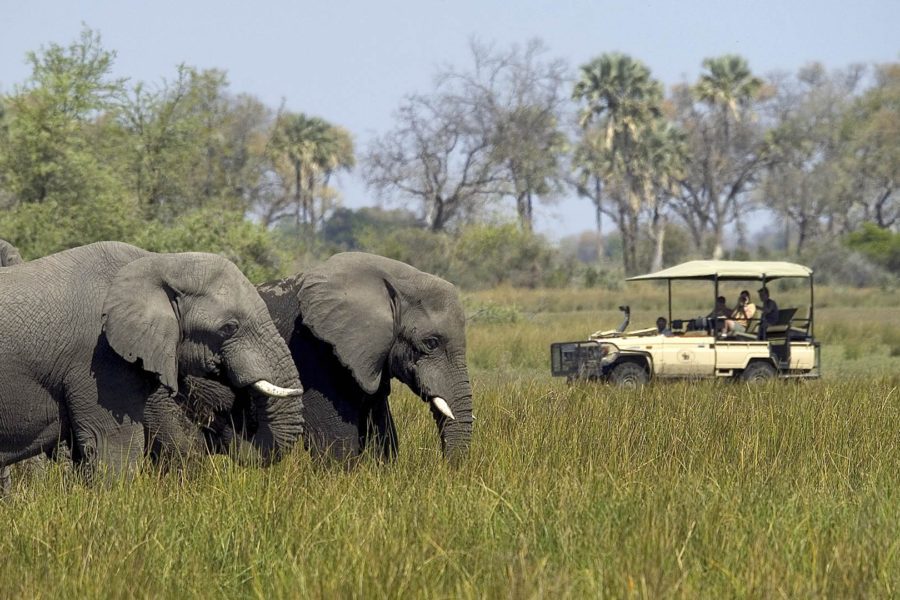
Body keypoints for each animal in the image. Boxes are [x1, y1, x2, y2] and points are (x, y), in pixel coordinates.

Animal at [185, 253, 478, 464]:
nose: (445, 471)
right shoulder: (312, 351)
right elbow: (337, 442)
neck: (393, 278)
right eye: (431, 343)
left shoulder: (370, 359)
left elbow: (383, 436)